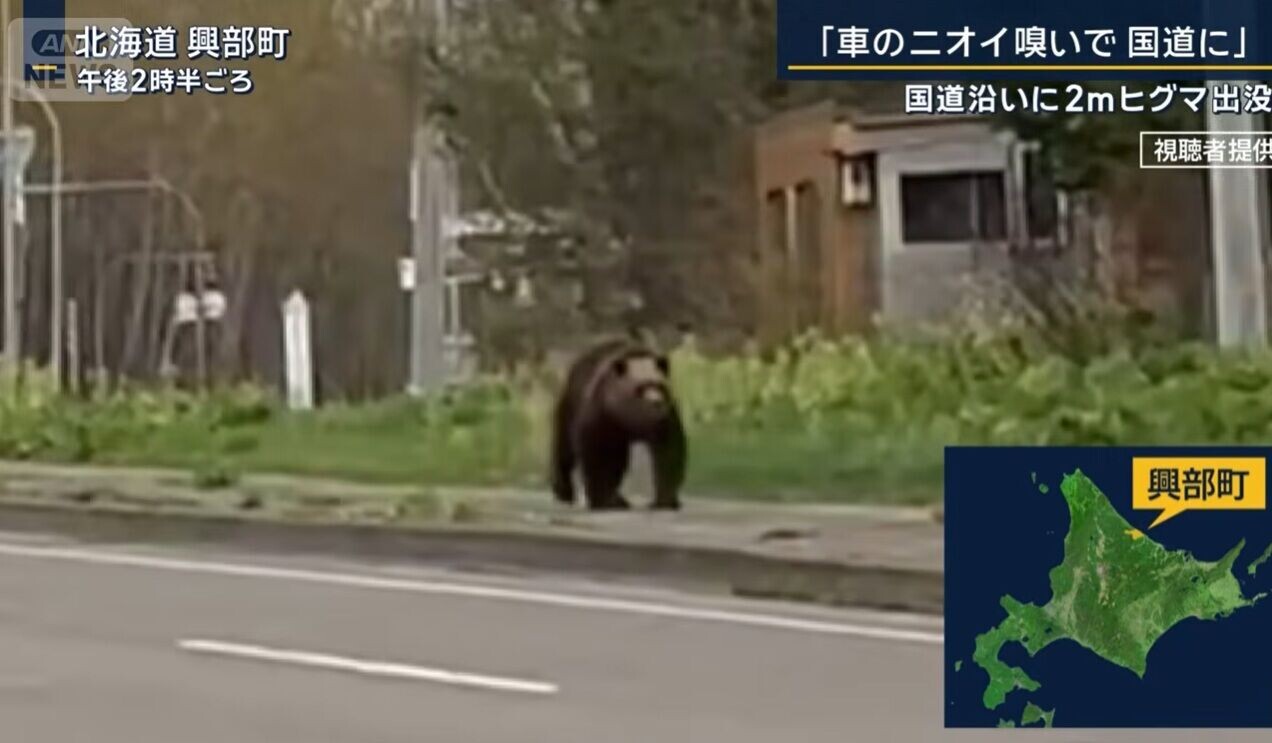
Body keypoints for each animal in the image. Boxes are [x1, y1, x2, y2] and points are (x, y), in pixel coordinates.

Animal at [549, 338, 687, 511]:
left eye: (659, 385)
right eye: (640, 387)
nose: (656, 402)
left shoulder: (663, 421)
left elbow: (669, 452)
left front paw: (665, 500)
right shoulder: (601, 416)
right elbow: (597, 456)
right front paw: (603, 500)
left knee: (619, 462)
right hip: (571, 404)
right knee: (564, 448)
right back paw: (564, 490)